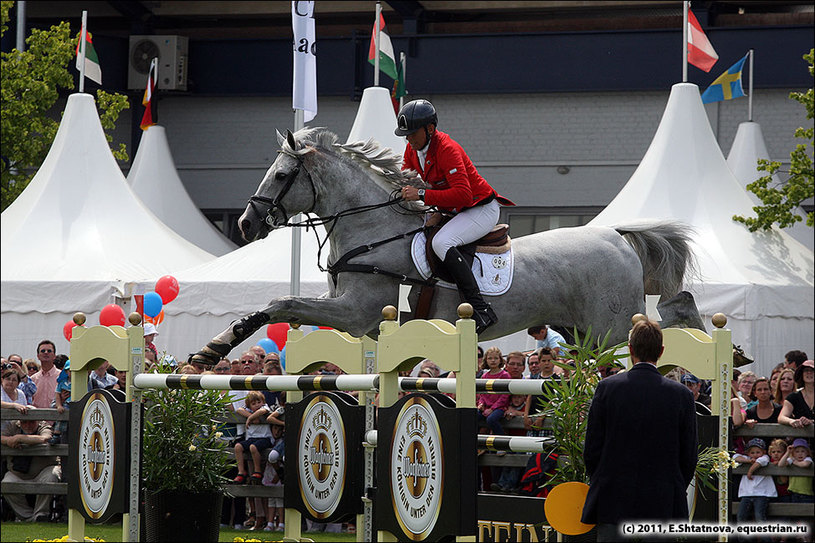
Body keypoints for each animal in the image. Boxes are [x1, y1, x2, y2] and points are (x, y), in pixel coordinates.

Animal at [188, 127, 700, 366]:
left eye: (279, 176)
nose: (247, 223)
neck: (369, 226)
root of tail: (616, 236)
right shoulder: (354, 313)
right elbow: (287, 306)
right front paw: (213, 348)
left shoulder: (357, 312)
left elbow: (280, 303)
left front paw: (212, 349)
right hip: (581, 333)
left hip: (611, 328)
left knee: (663, 329)